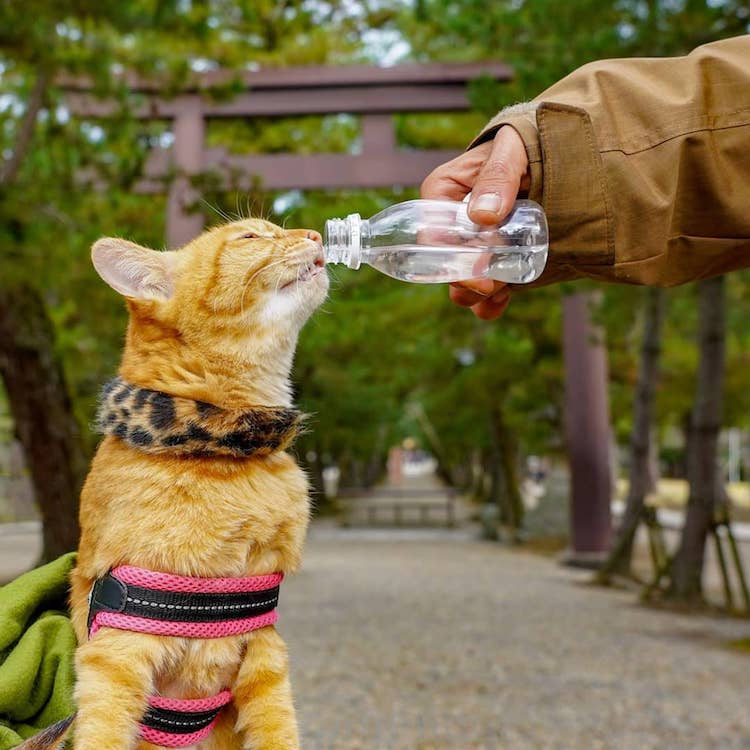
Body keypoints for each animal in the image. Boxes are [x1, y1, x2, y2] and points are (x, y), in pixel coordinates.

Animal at [68, 219, 328, 750]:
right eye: (251, 237)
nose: (315, 234)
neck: (217, 449)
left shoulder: (265, 655)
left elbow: (280, 732)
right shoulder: (115, 654)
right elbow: (101, 732)